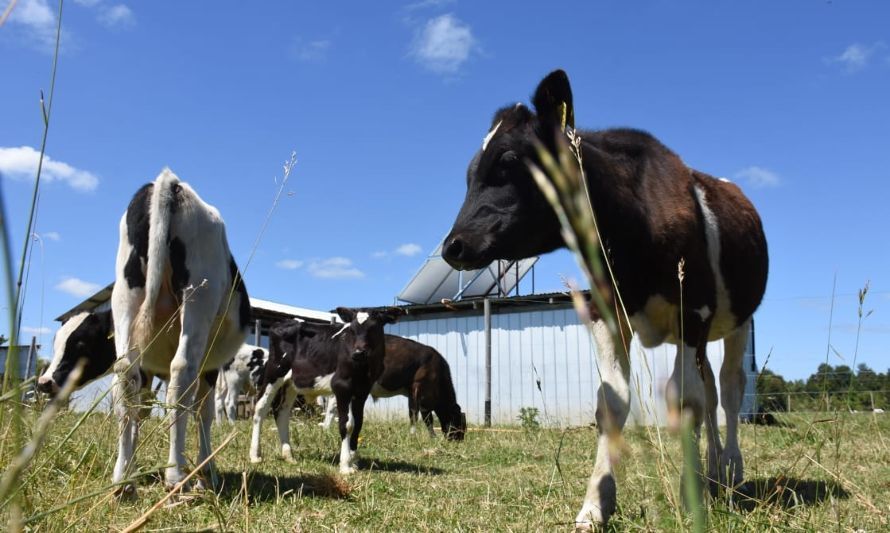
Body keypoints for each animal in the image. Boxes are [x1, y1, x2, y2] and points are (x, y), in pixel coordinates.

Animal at [111, 169, 251, 490]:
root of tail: (172, 184)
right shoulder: (210, 364)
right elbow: (205, 411)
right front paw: (206, 470)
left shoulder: (150, 367)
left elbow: (141, 410)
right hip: (198, 296)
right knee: (181, 373)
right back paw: (175, 476)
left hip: (124, 294)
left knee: (124, 373)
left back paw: (123, 480)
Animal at [250, 308, 402, 474]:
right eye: (352, 329)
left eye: (373, 328)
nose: (358, 353)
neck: (365, 368)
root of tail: (284, 322)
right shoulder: (342, 386)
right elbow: (347, 424)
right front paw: (345, 465)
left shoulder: (362, 391)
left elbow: (359, 423)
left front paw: (354, 461)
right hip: (274, 372)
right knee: (261, 407)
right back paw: (255, 455)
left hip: (291, 382)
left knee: (281, 412)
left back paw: (289, 456)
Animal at [320, 332, 472, 440]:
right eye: (459, 422)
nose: (459, 440)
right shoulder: (420, 388)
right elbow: (421, 415)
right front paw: (422, 436)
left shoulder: (414, 393)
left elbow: (418, 414)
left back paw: (326, 429)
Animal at [440, 69, 768, 524]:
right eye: (470, 172)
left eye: (508, 161)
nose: (452, 246)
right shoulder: (604, 310)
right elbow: (613, 403)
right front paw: (596, 503)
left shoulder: (694, 311)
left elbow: (685, 400)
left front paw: (690, 499)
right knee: (711, 395)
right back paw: (713, 472)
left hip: (737, 321)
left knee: (729, 390)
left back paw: (731, 471)